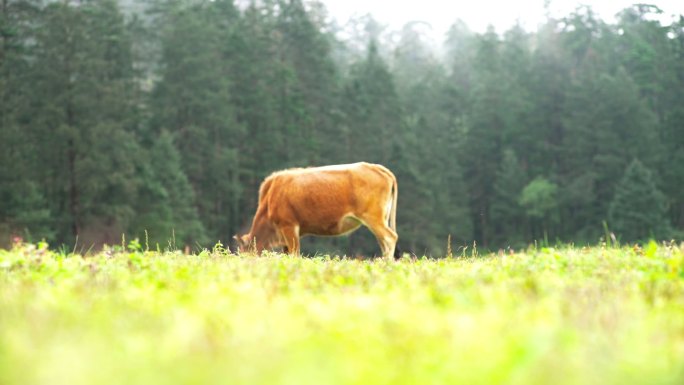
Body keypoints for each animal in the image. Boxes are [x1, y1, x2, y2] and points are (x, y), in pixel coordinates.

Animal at [234, 162, 398, 258]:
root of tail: (376, 167)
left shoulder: (289, 226)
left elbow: (295, 254)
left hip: (373, 217)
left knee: (390, 238)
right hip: (380, 219)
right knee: (383, 242)